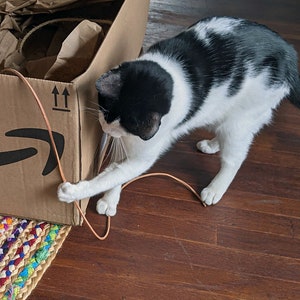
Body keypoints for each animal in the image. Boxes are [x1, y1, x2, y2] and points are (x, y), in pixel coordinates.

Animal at [57, 17, 298, 216]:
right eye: (105, 111)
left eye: (125, 124)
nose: (106, 129)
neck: (172, 73)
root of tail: (289, 52)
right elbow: (116, 174)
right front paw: (109, 200)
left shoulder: (142, 153)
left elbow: (113, 176)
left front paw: (72, 193)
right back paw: (212, 145)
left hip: (240, 122)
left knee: (235, 158)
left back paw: (215, 189)